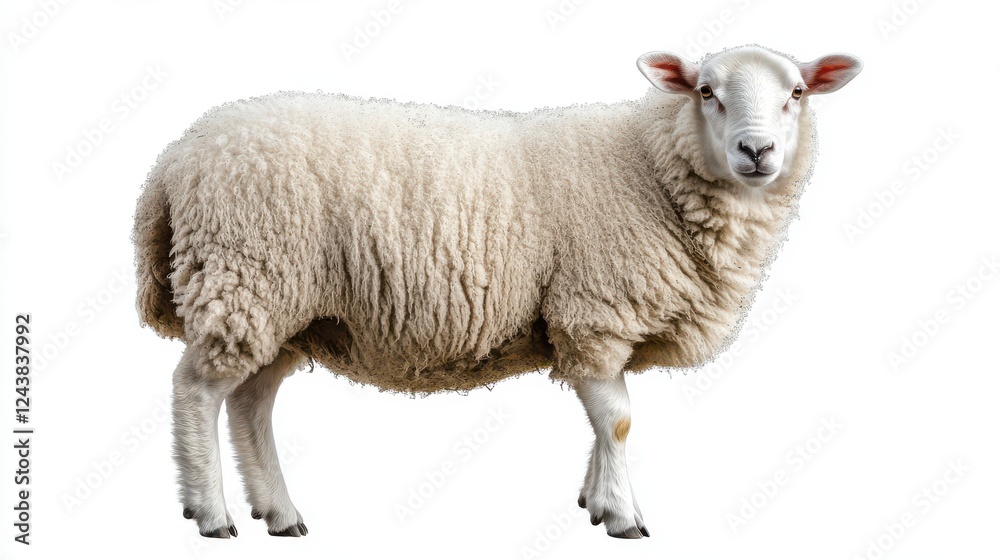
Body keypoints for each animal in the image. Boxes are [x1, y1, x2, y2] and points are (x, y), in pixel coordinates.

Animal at [133, 44, 862, 539]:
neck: (650, 169)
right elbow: (618, 420)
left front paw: (594, 501)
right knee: (196, 390)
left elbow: (603, 421)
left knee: (251, 403)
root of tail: (172, 162)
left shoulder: (586, 327)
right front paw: (624, 515)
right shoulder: (594, 311)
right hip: (244, 277)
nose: (757, 152)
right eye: (706, 90)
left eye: (798, 92)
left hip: (282, 307)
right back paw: (211, 513)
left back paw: (279, 512)